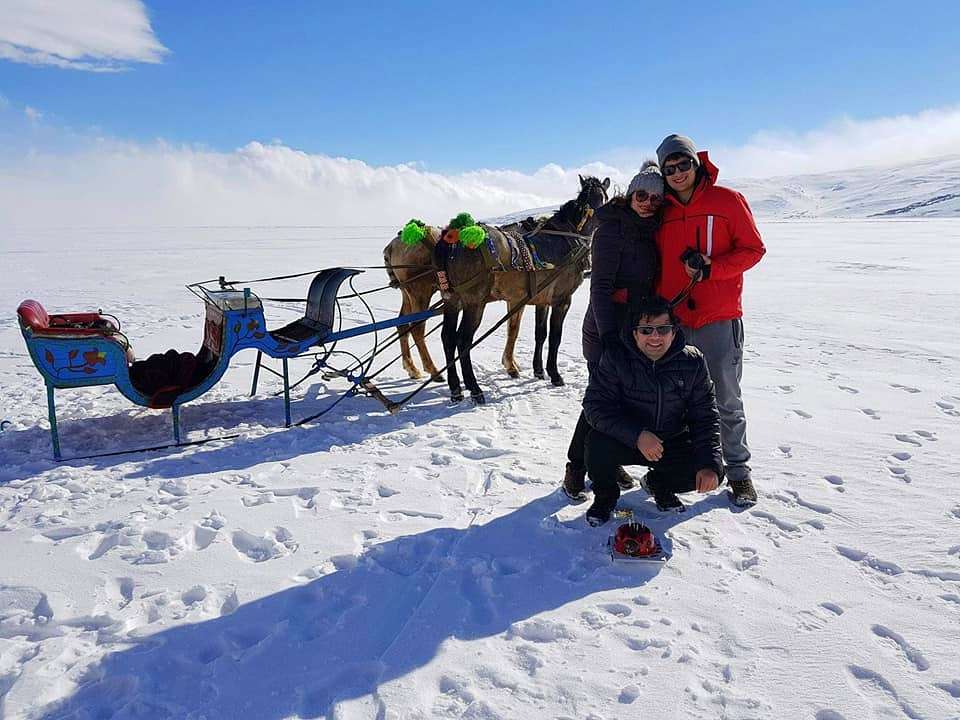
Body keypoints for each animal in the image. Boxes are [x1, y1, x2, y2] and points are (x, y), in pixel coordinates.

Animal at [436, 172, 608, 402]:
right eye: (600, 197)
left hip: (452, 301)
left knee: (447, 337)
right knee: (463, 340)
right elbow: (555, 336)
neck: (566, 238)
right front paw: (555, 374)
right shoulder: (562, 299)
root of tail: (453, 238)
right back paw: (474, 388)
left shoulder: (541, 300)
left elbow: (540, 333)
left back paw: (455, 387)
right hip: (474, 303)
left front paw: (539, 370)